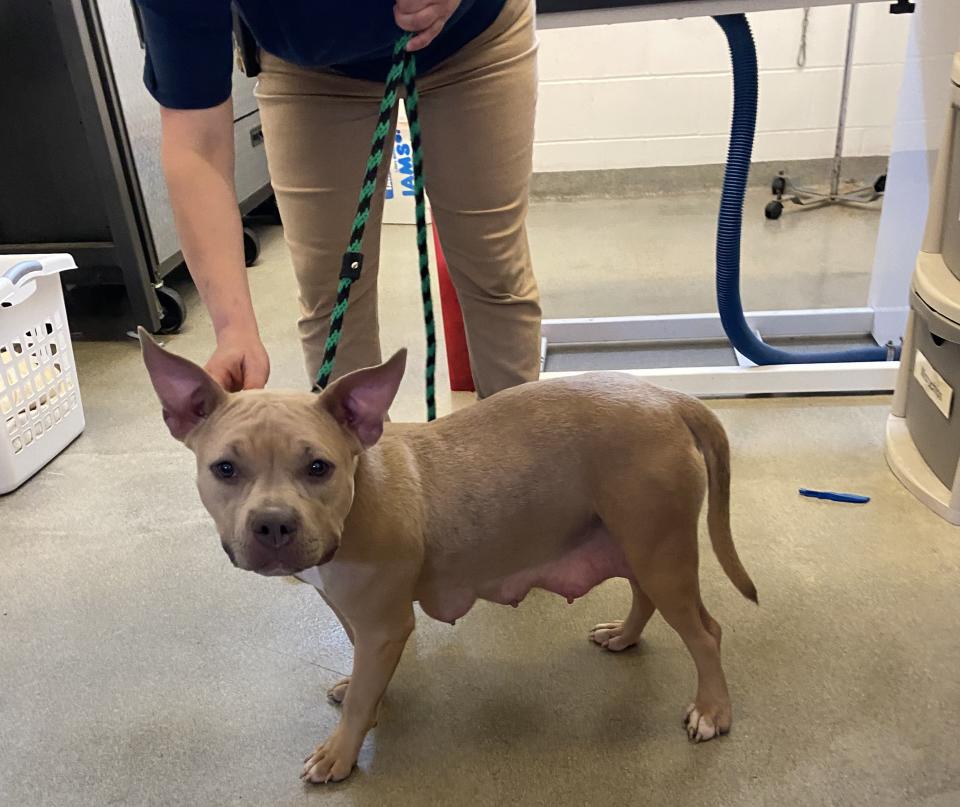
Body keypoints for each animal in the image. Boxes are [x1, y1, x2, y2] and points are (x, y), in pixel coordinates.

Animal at [141, 328, 756, 784]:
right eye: (225, 468)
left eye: (318, 467)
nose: (272, 523)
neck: (360, 493)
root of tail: (667, 398)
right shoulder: (354, 613)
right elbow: (362, 671)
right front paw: (362, 695)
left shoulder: (385, 623)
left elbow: (363, 695)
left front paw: (341, 752)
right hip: (634, 543)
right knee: (645, 597)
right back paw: (624, 637)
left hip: (660, 550)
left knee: (707, 633)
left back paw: (713, 711)